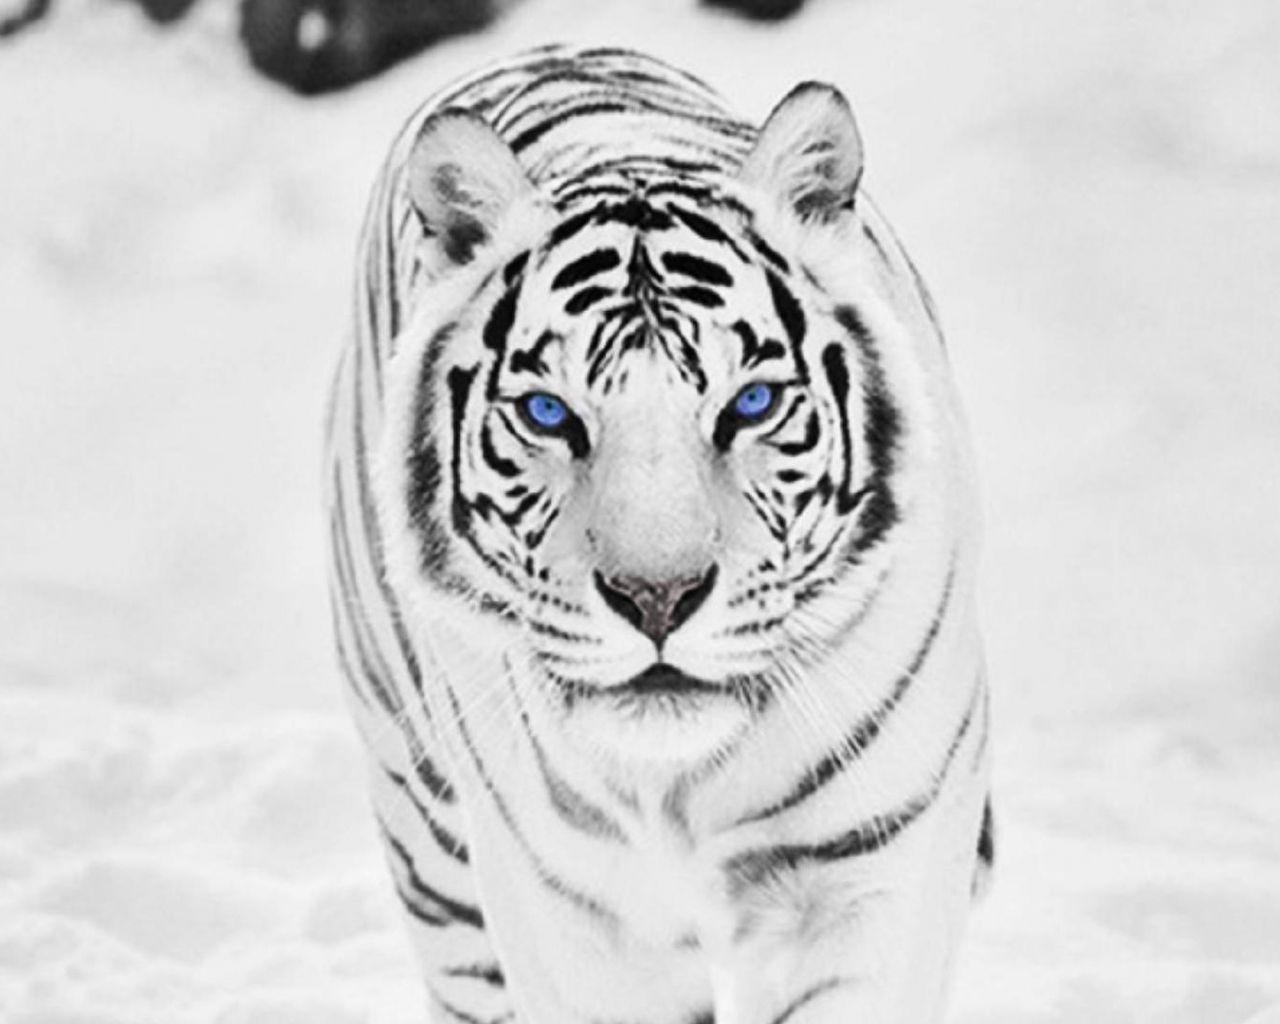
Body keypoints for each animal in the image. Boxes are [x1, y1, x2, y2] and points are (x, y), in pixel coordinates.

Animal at [324, 44, 992, 1024]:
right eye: (549, 413)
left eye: (751, 403)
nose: (657, 598)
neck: (684, 787)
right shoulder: (568, 916)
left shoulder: (870, 868)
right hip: (426, 833)